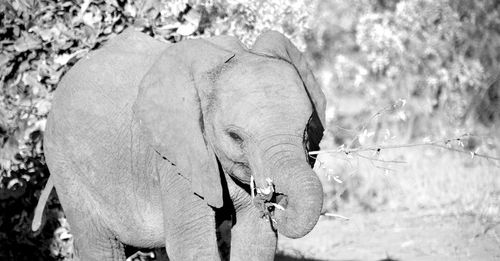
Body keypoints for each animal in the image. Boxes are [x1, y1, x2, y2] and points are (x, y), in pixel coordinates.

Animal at [37, 27, 328, 258]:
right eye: (235, 137)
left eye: (307, 129)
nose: (270, 199)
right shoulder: (175, 156)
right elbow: (191, 244)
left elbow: (257, 239)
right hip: (65, 166)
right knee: (100, 245)